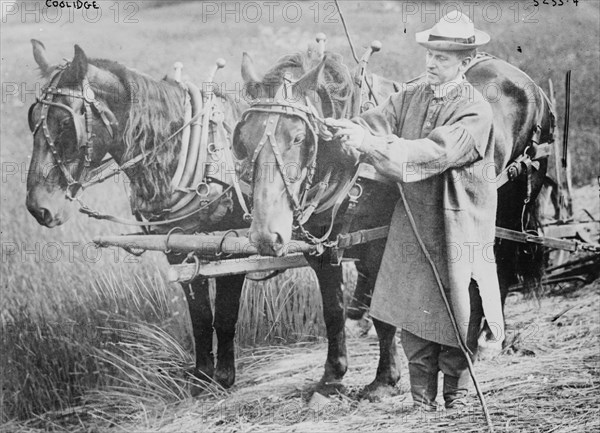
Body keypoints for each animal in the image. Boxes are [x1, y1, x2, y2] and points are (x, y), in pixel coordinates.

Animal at [24, 39, 250, 384]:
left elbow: (225, 313)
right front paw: (201, 377)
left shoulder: (232, 245)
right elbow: (199, 316)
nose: (38, 207)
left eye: (64, 123)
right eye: (32, 119)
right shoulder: (179, 246)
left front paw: (223, 377)